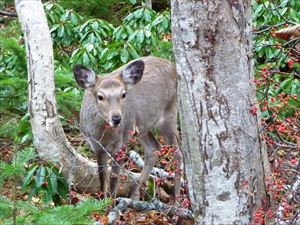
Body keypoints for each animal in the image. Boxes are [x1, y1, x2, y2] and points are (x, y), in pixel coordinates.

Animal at [73, 56, 182, 200]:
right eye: (100, 96)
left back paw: (176, 198)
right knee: (153, 148)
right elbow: (102, 177)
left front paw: (112, 202)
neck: (104, 134)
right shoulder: (96, 146)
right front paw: (102, 200)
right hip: (141, 128)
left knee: (178, 153)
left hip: (168, 115)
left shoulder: (121, 143)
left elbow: (114, 179)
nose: (117, 118)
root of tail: (173, 66)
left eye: (123, 94)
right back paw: (135, 195)